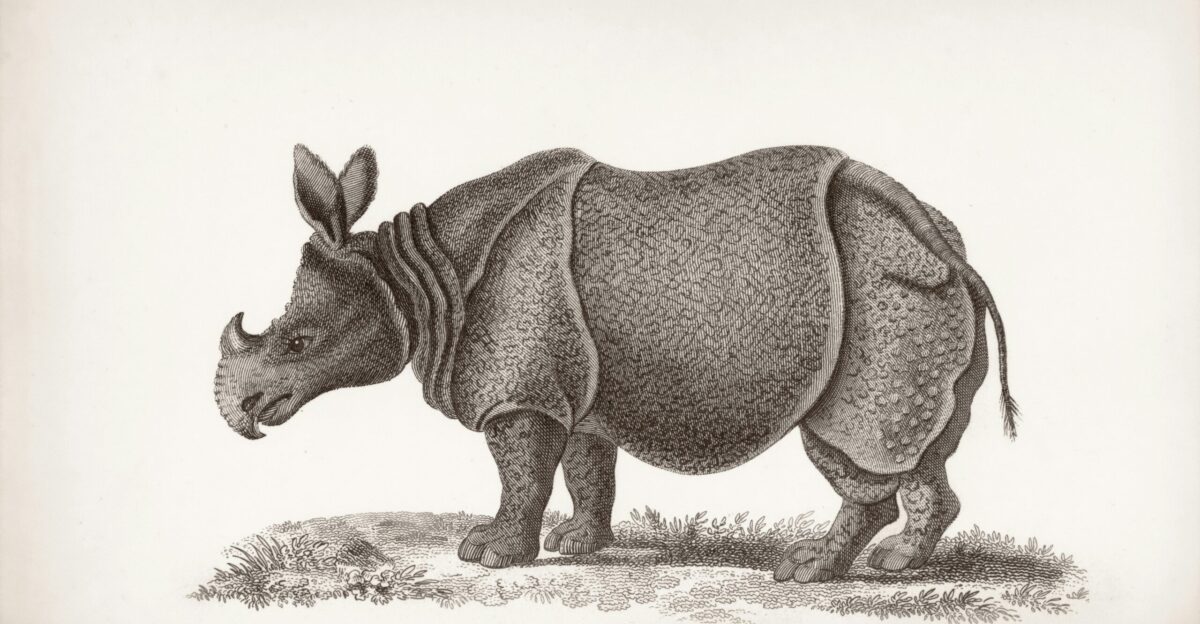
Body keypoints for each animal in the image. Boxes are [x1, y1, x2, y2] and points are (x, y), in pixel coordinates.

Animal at [213, 144, 1017, 582]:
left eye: (299, 344)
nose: (245, 414)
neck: (411, 279)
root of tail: (930, 232)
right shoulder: (576, 384)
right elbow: (584, 466)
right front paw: (577, 544)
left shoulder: (518, 387)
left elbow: (521, 472)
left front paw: (489, 554)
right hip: (924, 278)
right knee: (916, 443)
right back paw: (897, 566)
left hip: (879, 287)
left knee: (848, 438)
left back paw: (805, 573)